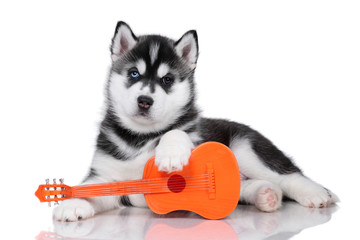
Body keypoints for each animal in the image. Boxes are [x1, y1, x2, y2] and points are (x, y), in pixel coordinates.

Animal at [52, 22, 338, 221]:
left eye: (167, 80)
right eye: (134, 74)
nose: (145, 100)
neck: (141, 138)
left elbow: (175, 132)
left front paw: (169, 154)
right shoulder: (107, 177)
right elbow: (90, 189)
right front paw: (72, 203)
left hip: (246, 148)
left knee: (288, 174)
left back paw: (316, 193)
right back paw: (265, 195)